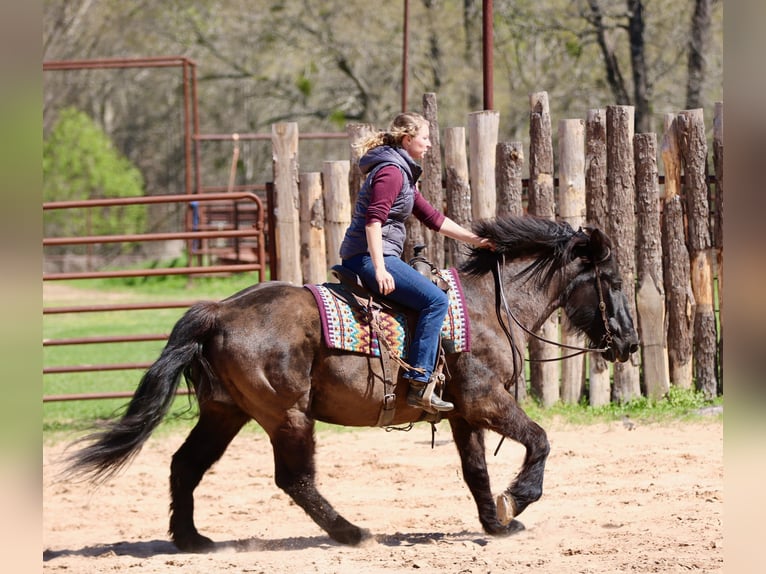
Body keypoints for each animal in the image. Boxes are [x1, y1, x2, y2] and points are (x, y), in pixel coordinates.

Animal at [64, 214, 639, 552]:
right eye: (612, 281)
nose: (630, 343)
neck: (483, 309)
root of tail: (219, 311)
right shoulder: (484, 400)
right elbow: (540, 440)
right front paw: (516, 500)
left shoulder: (462, 413)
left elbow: (475, 470)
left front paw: (496, 523)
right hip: (287, 415)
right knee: (294, 480)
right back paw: (351, 532)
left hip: (226, 412)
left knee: (185, 464)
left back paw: (191, 540)